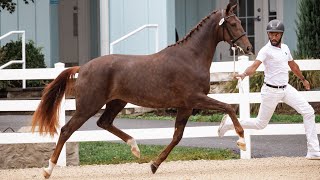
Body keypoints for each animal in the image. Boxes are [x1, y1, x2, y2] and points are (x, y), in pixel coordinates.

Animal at [32, 3, 252, 179]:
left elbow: (177, 136)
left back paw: (135, 147)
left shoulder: (186, 106)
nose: (248, 48)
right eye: (233, 24)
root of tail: (83, 67)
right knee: (66, 130)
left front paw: (154, 165)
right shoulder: (195, 99)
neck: (191, 57)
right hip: (88, 106)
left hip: (116, 102)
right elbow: (228, 107)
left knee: (104, 122)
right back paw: (48, 170)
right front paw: (242, 141)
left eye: (239, 22)